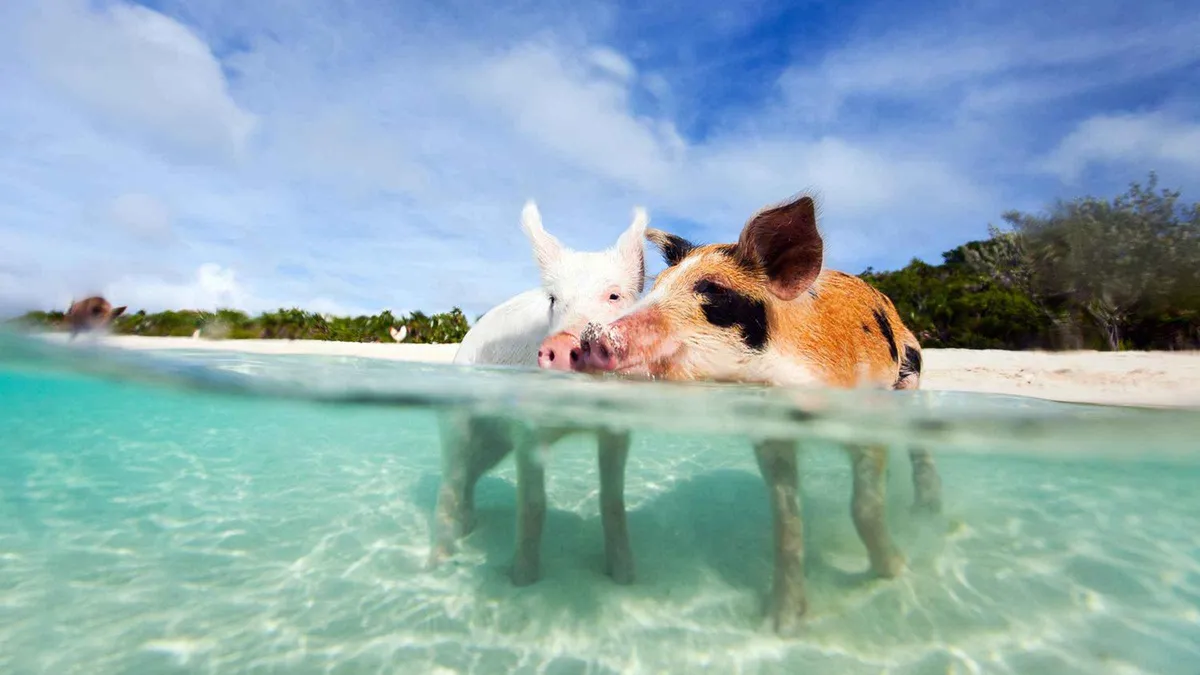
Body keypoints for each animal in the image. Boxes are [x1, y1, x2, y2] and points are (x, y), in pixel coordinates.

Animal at [428, 200, 648, 586]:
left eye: (614, 295)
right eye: (554, 300)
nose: (560, 345)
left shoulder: (617, 429)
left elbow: (612, 501)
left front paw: (625, 577)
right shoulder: (527, 428)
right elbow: (533, 503)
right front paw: (522, 580)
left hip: (494, 444)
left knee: (470, 475)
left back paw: (469, 527)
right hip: (457, 419)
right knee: (450, 480)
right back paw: (436, 564)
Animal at [558, 193, 943, 633]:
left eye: (714, 292)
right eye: (657, 286)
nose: (590, 337)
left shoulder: (865, 414)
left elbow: (864, 507)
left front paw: (894, 572)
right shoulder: (771, 436)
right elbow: (787, 521)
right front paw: (781, 624)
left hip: (910, 374)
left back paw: (927, 511)